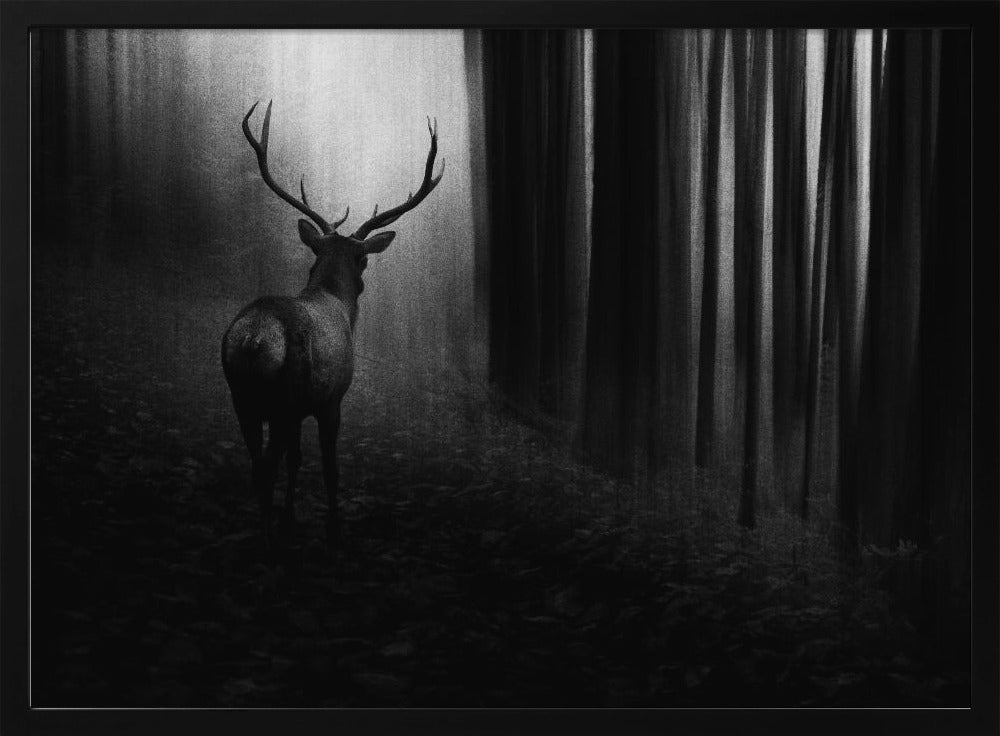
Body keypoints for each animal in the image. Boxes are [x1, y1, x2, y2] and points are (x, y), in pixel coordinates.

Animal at [222, 100, 444, 548]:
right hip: (285, 397)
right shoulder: (331, 399)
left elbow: (296, 461)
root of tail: (254, 338)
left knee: (258, 463)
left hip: (243, 397)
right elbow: (329, 467)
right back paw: (268, 540)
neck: (336, 303)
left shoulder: (302, 409)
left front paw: (291, 515)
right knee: (265, 467)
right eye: (364, 258)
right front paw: (334, 525)